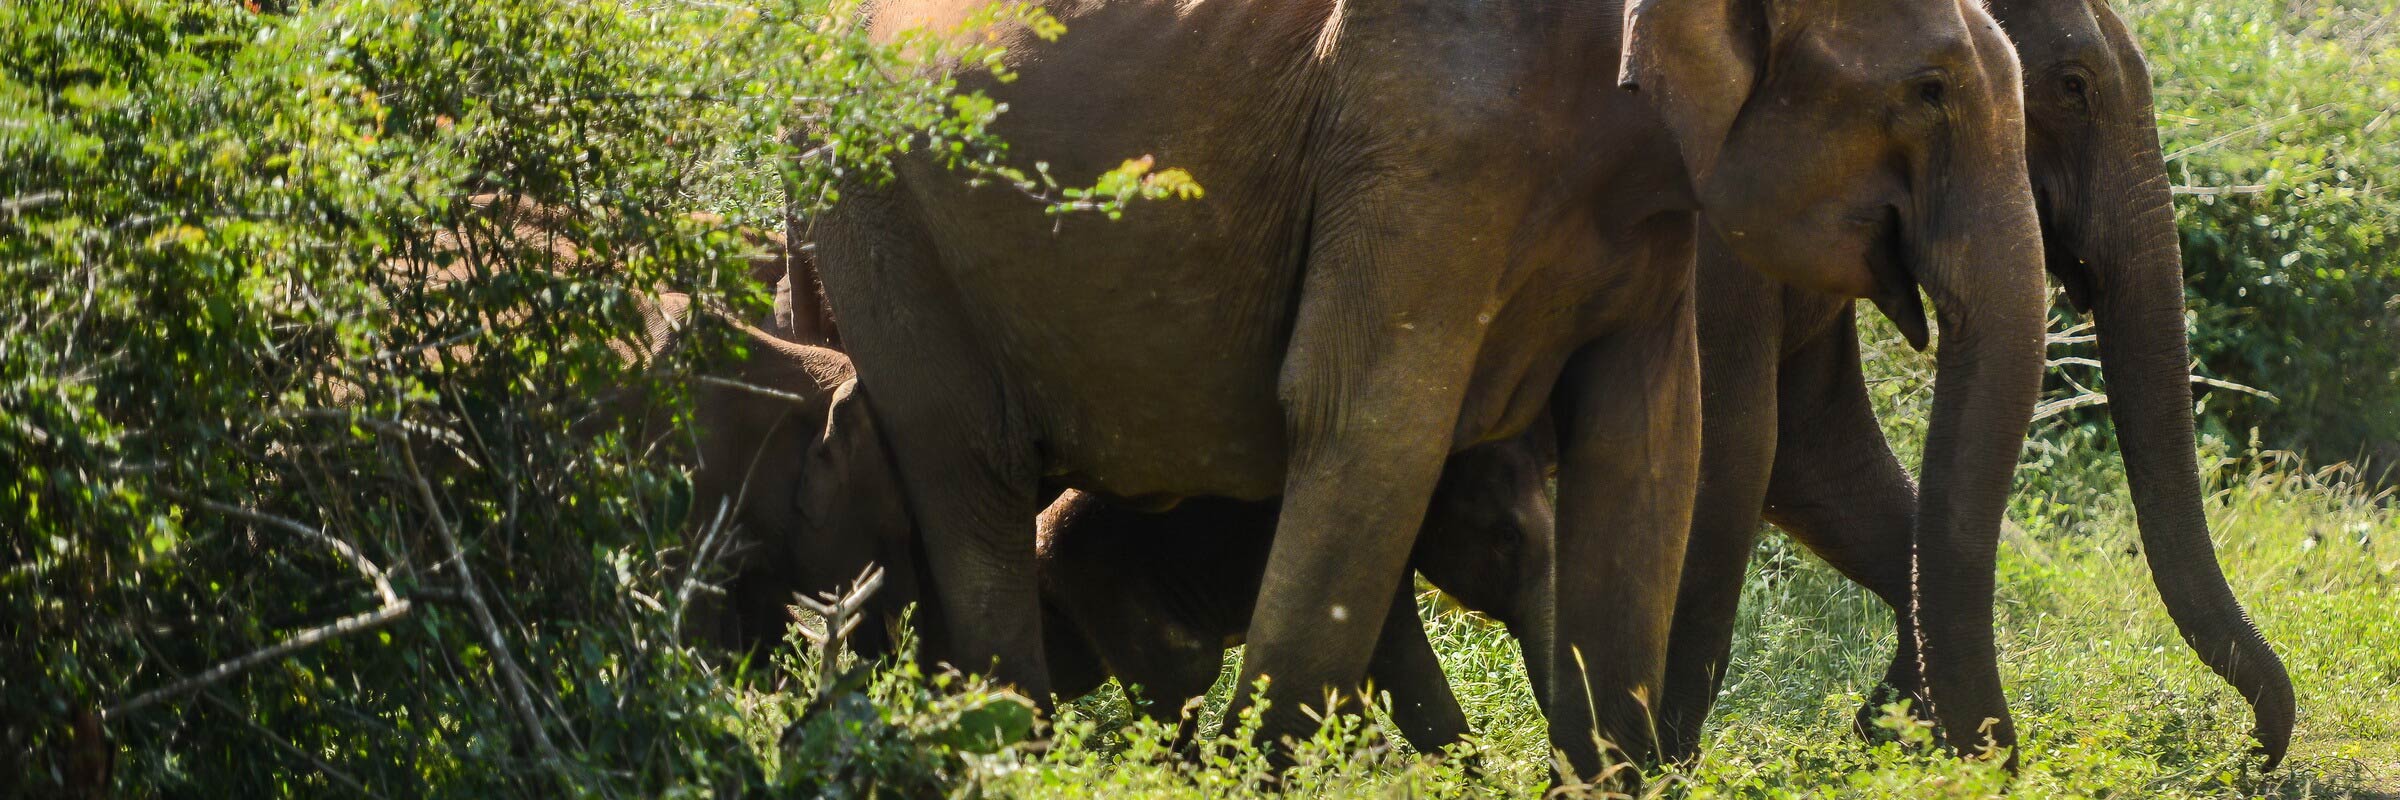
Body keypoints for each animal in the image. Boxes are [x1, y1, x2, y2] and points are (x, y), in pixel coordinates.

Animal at [801, 0, 2044, 773]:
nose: (1939, 749)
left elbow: (1646, 451)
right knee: (974, 487)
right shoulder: (1424, 143)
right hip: (879, 224)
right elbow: (1365, 423)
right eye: (1929, 89)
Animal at [1651, 0, 2284, 768]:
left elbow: (1810, 448)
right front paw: (1653, 766)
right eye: (2072, 87)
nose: (2253, 752)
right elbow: (1730, 447)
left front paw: (1887, 732)